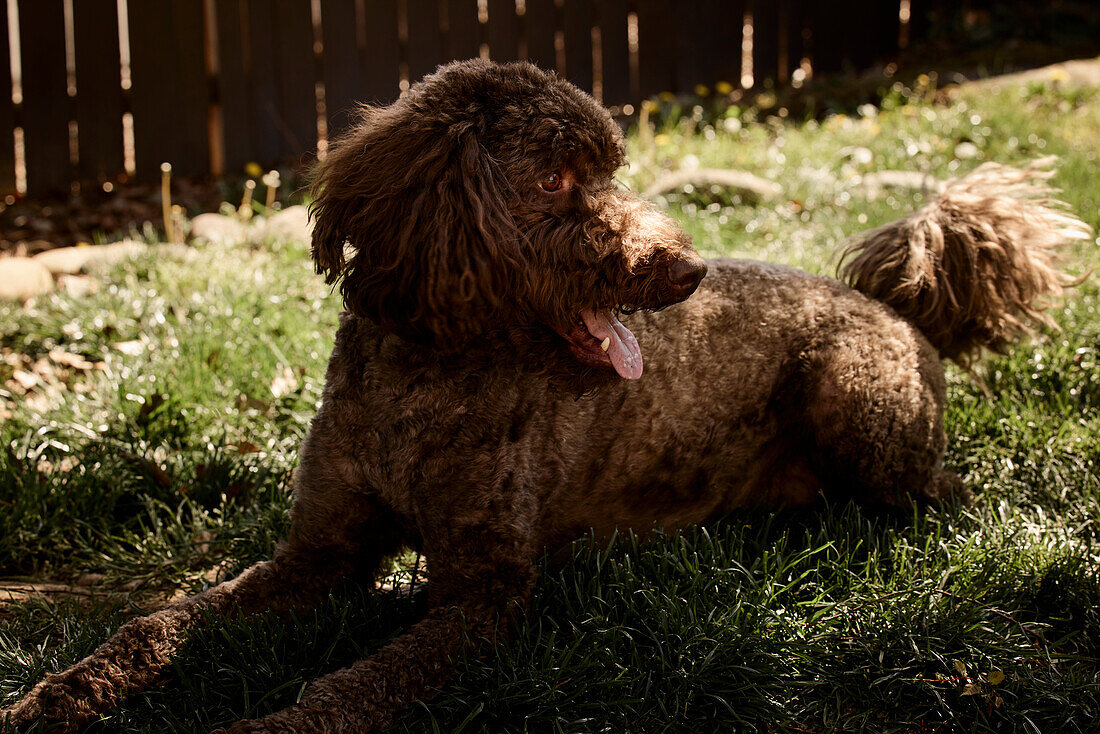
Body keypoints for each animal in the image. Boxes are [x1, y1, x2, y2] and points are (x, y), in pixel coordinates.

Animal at [4, 60, 1086, 730]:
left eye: (609, 171)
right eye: (558, 178)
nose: (687, 271)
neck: (428, 377)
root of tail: (891, 304)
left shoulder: (484, 593)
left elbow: (351, 688)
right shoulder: (320, 553)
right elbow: (157, 621)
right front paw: (59, 693)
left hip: (852, 400)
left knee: (937, 496)